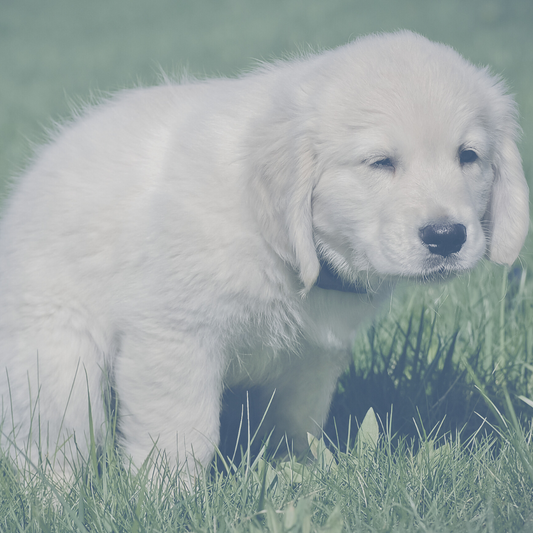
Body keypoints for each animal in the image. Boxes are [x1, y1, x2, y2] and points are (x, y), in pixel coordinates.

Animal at [0, 29, 524, 478]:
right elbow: (182, 435)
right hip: (55, 360)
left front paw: (302, 474)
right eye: (380, 163)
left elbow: (299, 428)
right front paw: (166, 499)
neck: (281, 246)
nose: (446, 236)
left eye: (468, 156)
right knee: (49, 444)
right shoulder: (174, 338)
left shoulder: (313, 359)